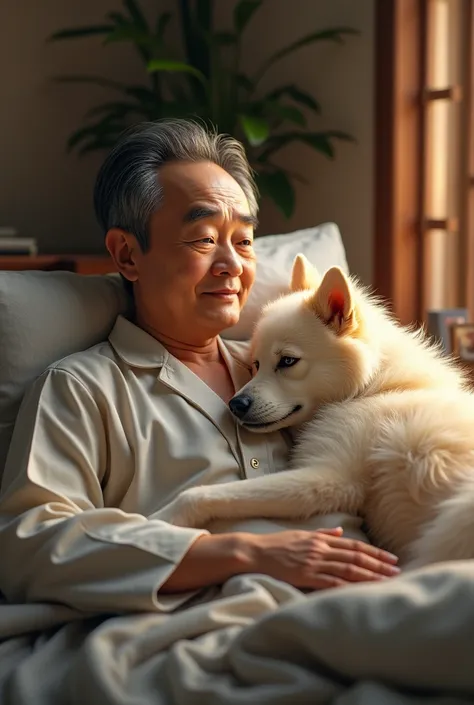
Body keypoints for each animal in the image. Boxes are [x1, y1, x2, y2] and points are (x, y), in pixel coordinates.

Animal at [160, 253, 474, 568]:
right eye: (256, 364)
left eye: (287, 361)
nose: (235, 405)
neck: (373, 387)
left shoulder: (327, 476)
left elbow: (201, 494)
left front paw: (163, 519)